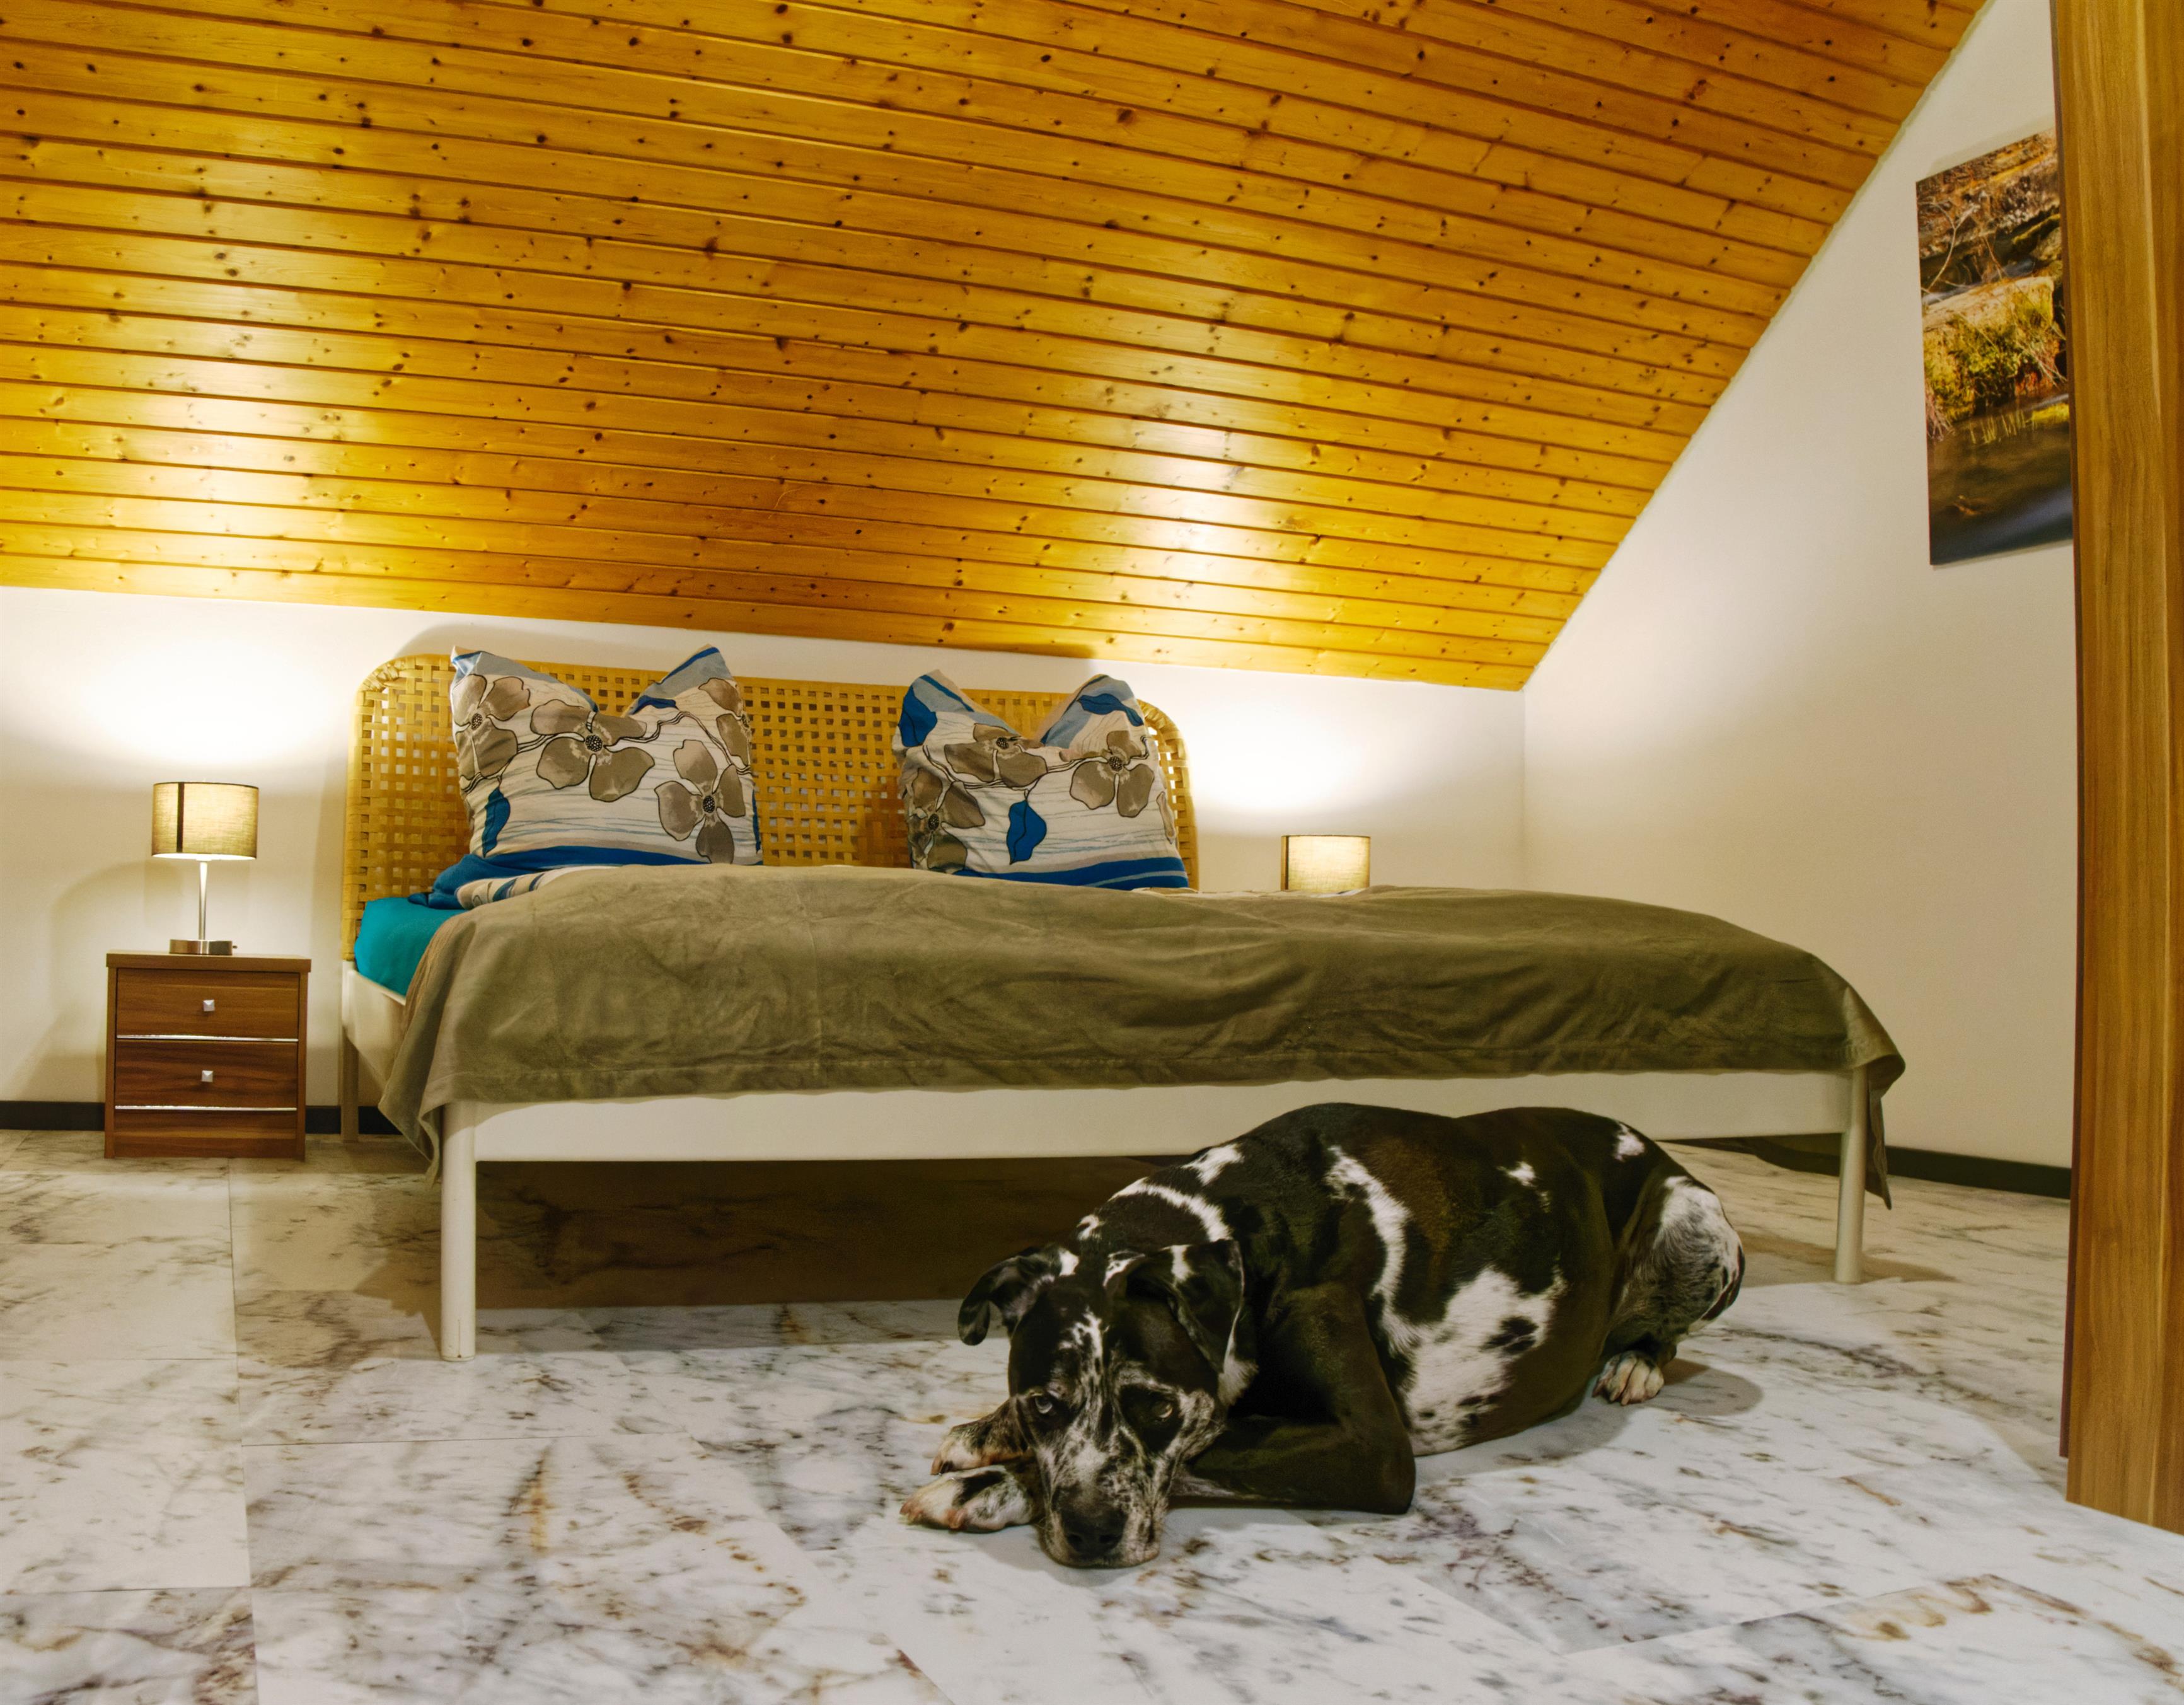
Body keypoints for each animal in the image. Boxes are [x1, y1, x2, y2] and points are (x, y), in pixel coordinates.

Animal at [900, 1102, 1744, 1567]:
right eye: (1044, 1402)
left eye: (1159, 1407)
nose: (1092, 1533)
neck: (1245, 1225)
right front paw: (993, 1430)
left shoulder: (1372, 1446)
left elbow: (1209, 1450)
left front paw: (991, 1486)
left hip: (1699, 1230)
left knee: (1666, 1326)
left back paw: (1636, 1360)